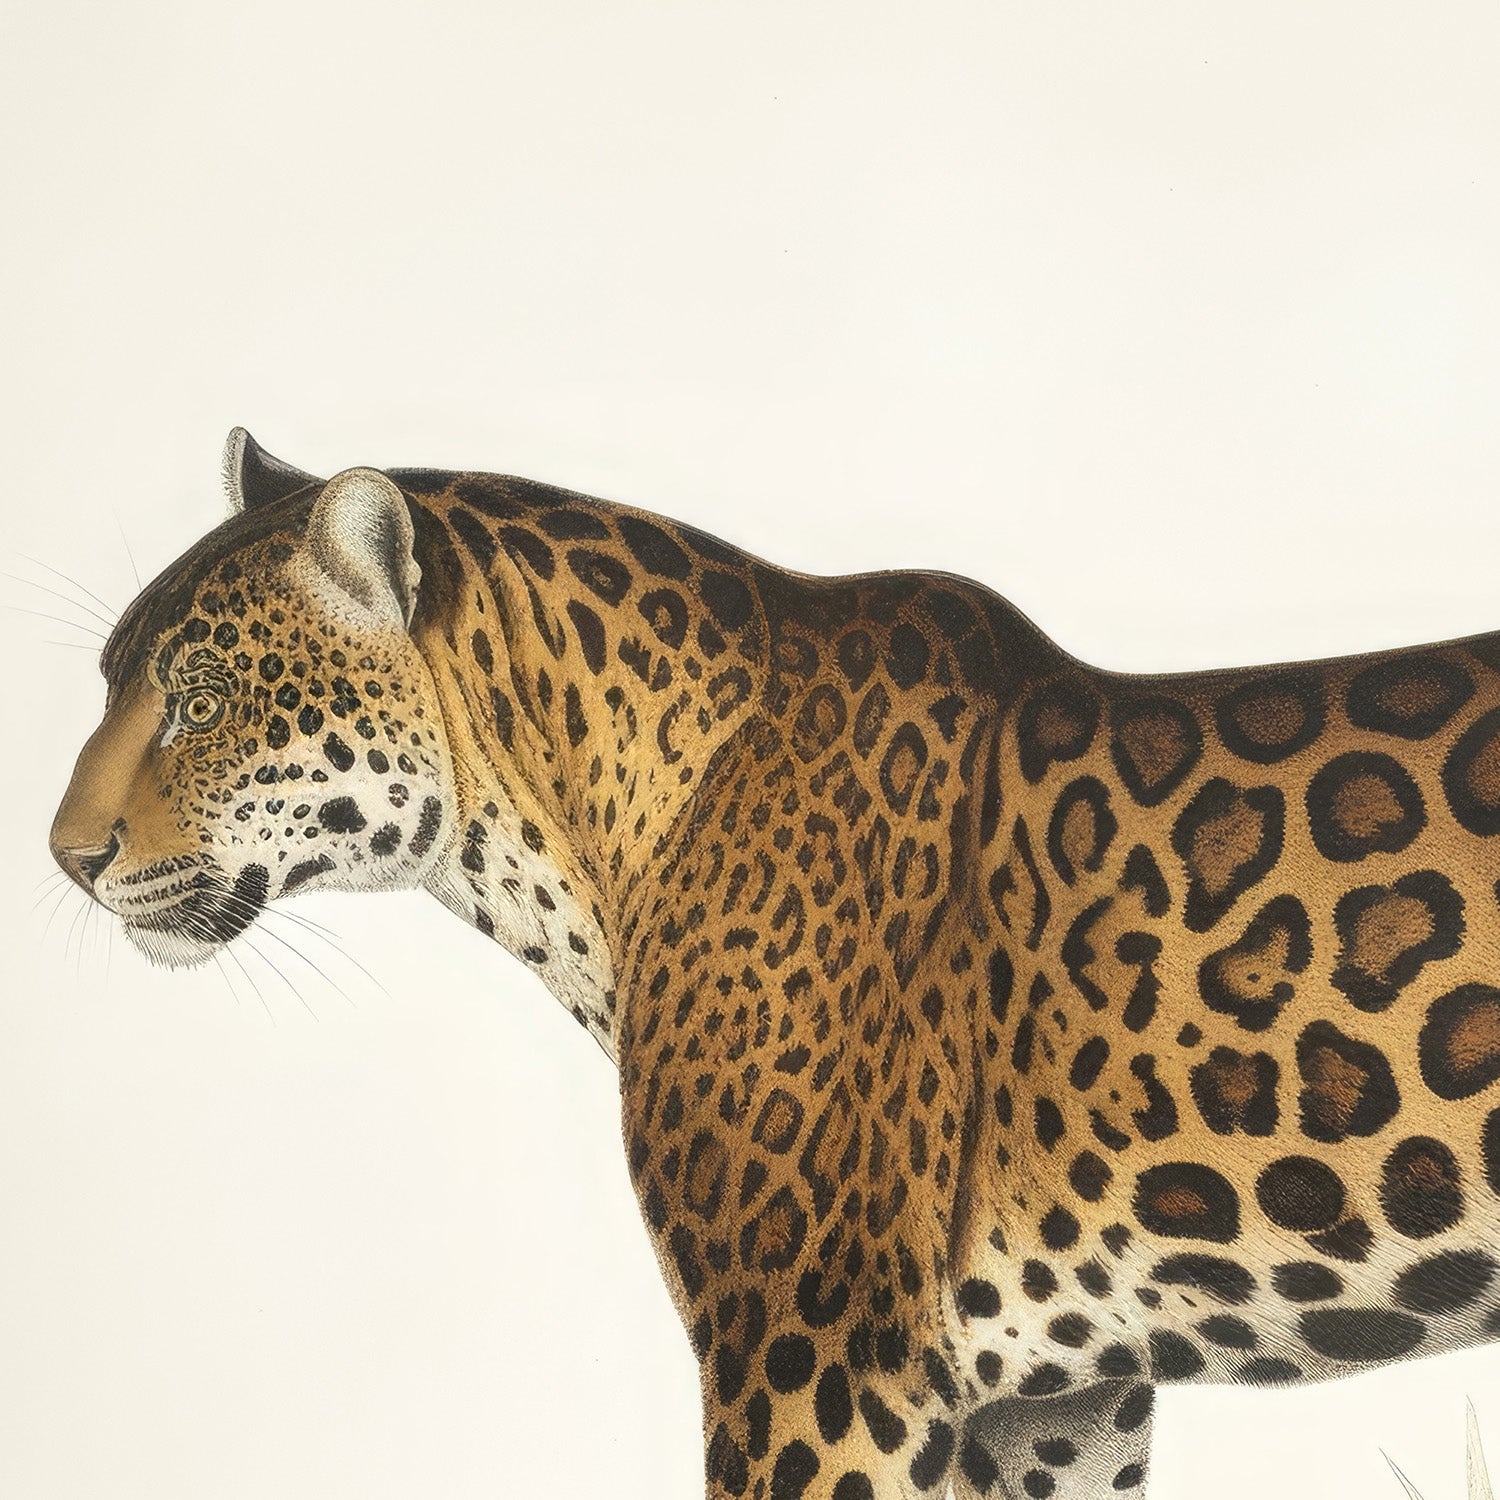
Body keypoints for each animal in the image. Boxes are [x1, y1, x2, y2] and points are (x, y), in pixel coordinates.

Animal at [49, 428, 1500, 1499]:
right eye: (114, 681)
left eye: (200, 702)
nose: (63, 857)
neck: (576, 841)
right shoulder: (1061, 1402)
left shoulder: (820, 1354)